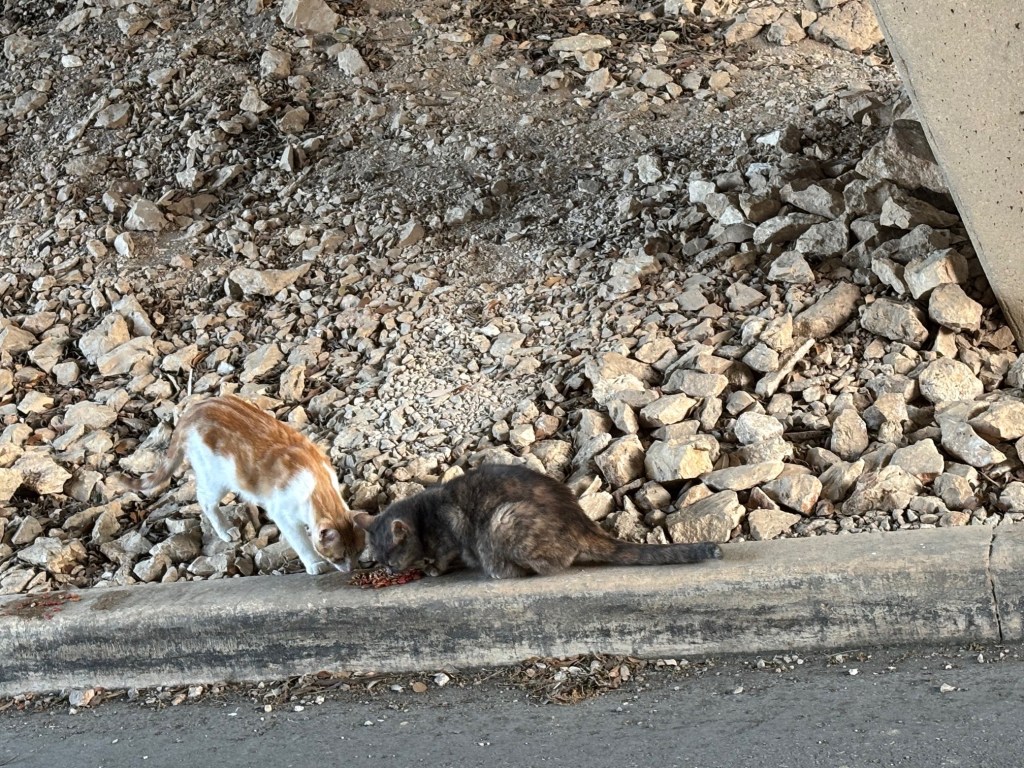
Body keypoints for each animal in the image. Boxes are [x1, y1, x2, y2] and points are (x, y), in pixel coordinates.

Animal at [122, 394, 363, 575]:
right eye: (339, 557)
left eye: (358, 553)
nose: (351, 569)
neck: (318, 485)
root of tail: (193, 409)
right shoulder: (282, 514)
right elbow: (300, 541)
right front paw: (314, 563)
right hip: (217, 479)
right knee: (204, 500)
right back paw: (225, 530)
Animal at [353, 463, 722, 579]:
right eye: (380, 560)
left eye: (392, 559)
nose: (389, 572)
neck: (421, 514)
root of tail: (582, 521)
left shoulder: (449, 533)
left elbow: (444, 555)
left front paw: (432, 567)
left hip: (503, 520)